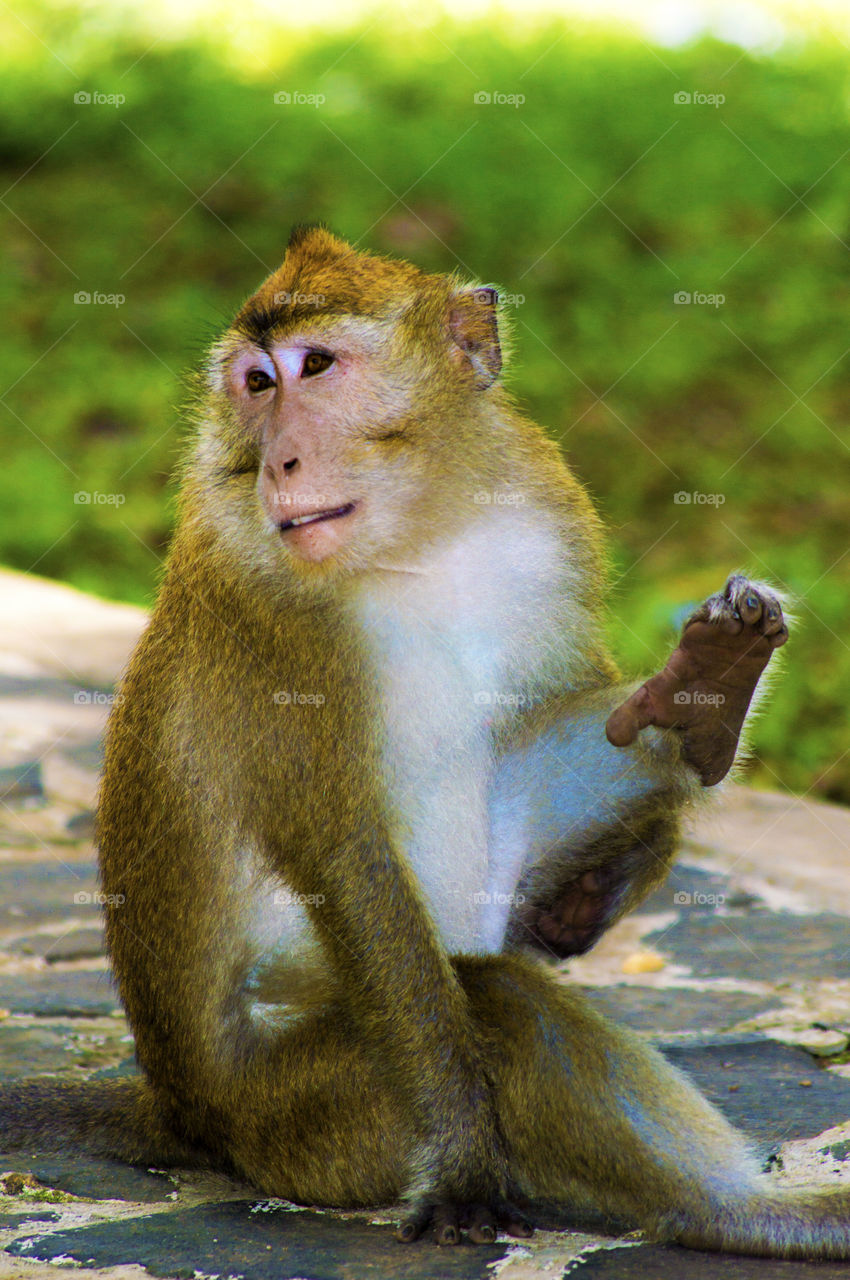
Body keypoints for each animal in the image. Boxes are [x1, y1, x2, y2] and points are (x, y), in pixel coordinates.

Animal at [5, 226, 849, 1261]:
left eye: (316, 367)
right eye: (256, 383)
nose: (280, 461)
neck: (416, 531)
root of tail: (186, 1112)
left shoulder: (543, 511)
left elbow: (563, 703)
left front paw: (616, 873)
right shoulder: (270, 618)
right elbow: (346, 858)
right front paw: (464, 1161)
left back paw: (707, 704)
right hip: (311, 1117)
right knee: (501, 1008)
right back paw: (738, 1213)